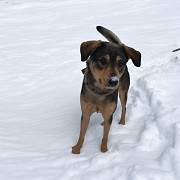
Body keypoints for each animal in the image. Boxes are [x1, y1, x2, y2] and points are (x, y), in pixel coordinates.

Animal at [71, 26, 141, 154]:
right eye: (102, 60)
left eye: (120, 63)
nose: (114, 81)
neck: (100, 92)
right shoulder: (86, 113)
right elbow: (82, 134)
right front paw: (77, 148)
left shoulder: (109, 111)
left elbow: (105, 136)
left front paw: (103, 151)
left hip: (123, 92)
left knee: (123, 107)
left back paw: (122, 122)